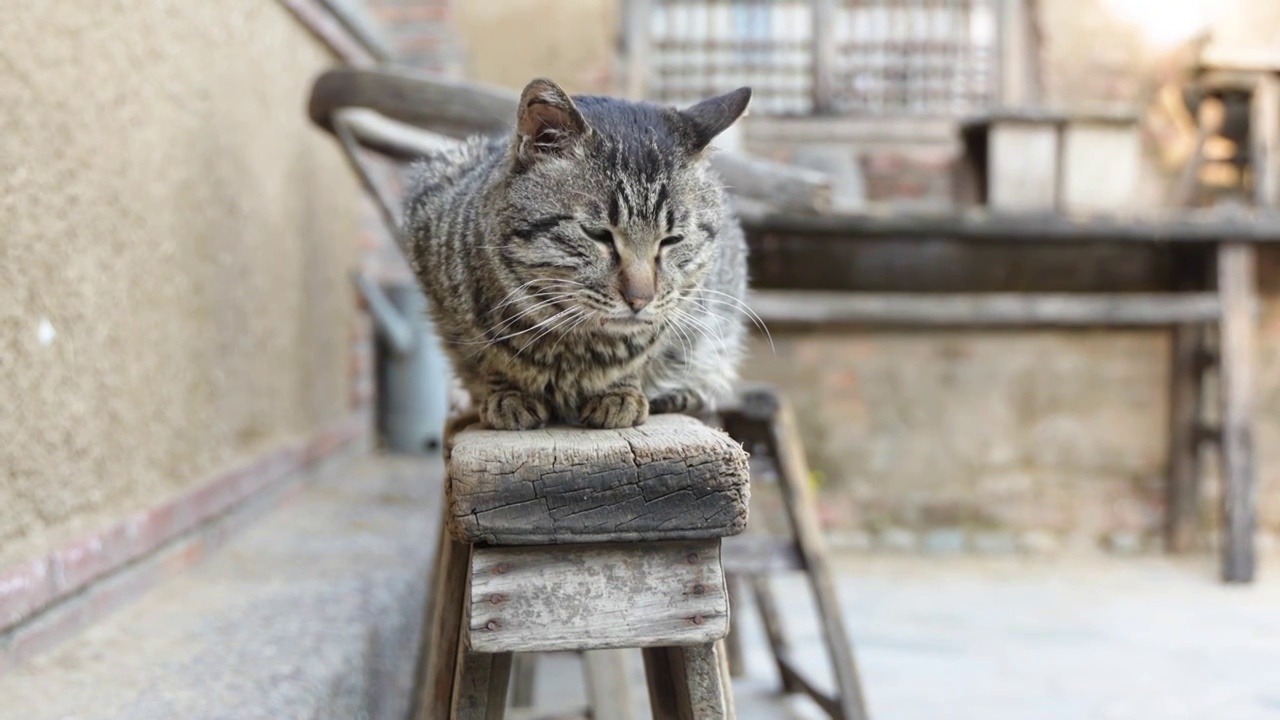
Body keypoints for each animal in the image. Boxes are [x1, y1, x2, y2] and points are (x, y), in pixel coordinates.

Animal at [401, 77, 747, 425]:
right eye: (598, 234)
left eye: (671, 240)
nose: (640, 300)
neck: (573, 349)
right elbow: (485, 356)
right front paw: (508, 393)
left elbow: (644, 356)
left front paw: (620, 392)